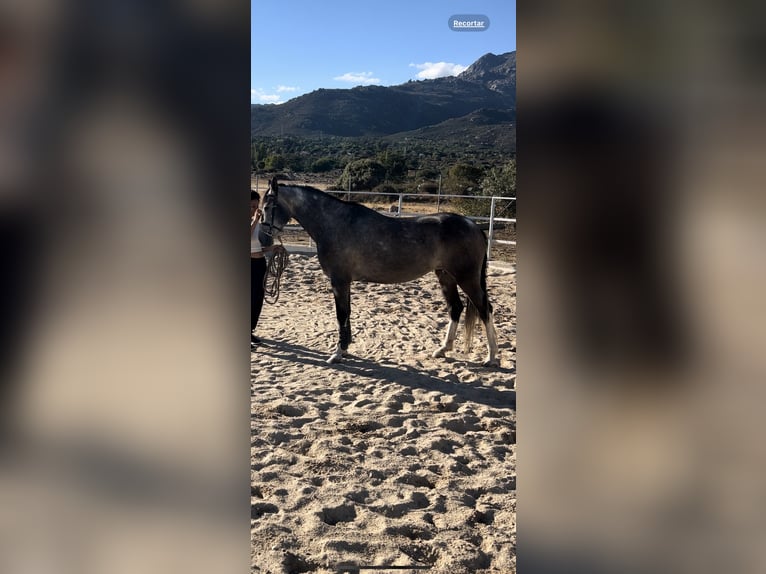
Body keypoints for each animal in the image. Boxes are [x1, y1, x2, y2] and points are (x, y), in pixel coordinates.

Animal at [260, 179, 500, 368]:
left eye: (269, 206)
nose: (263, 239)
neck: (335, 223)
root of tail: (473, 226)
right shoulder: (345, 282)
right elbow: (347, 313)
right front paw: (345, 348)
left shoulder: (339, 281)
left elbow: (341, 315)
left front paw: (337, 353)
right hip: (445, 276)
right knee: (456, 308)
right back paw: (443, 349)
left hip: (467, 278)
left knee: (484, 309)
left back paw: (491, 357)